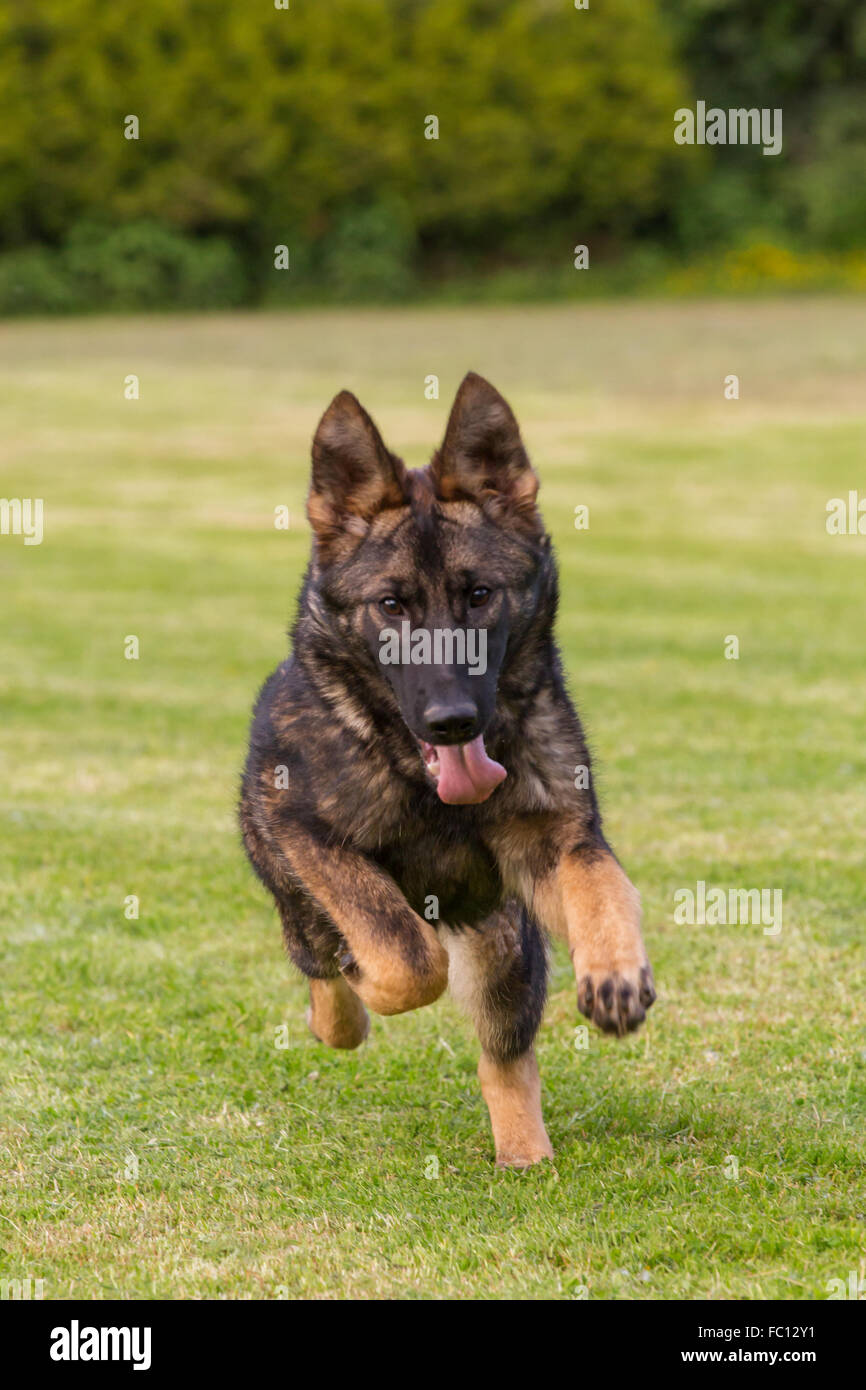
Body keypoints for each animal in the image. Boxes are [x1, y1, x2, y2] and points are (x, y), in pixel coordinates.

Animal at [240, 375, 653, 1167]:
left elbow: (602, 883)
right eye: (391, 605)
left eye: (480, 595)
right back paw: (340, 1009)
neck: (421, 780)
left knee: (504, 1058)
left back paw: (525, 1152)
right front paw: (370, 981)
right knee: (319, 961)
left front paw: (616, 970)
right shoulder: (308, 834)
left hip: (506, 948)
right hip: (293, 887)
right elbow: (405, 955)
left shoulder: (553, 843)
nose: (454, 721)